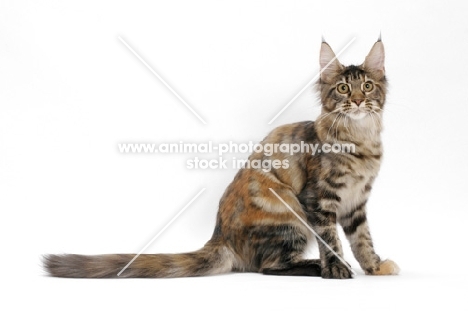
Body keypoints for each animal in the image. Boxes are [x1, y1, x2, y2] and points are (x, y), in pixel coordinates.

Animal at [44, 37, 398, 280]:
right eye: (342, 89)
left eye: (367, 86)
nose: (357, 100)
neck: (360, 140)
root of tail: (220, 236)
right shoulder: (319, 200)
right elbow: (332, 240)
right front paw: (336, 269)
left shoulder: (356, 203)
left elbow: (362, 239)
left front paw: (375, 266)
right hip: (287, 209)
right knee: (267, 266)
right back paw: (312, 266)